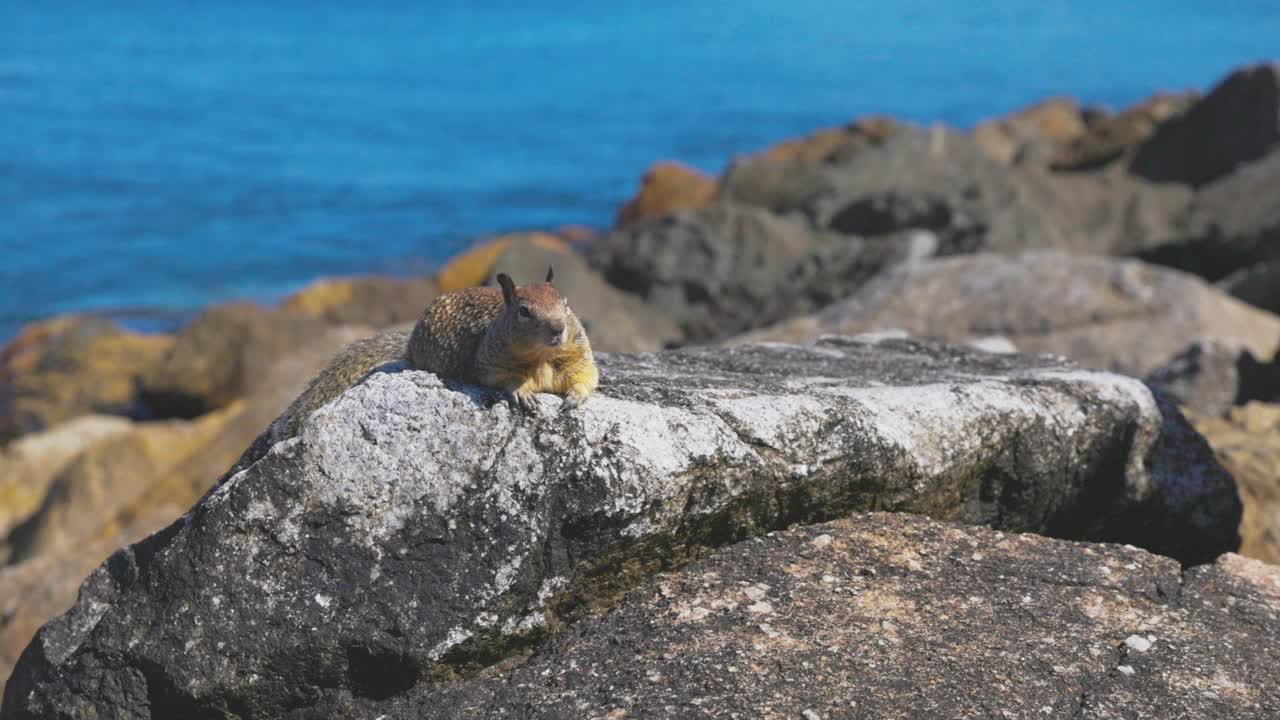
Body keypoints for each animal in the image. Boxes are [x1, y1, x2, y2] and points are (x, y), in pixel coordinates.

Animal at [271, 266, 599, 440]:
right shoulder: (488, 361)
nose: (558, 328)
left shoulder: (578, 353)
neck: (542, 357)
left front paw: (576, 396)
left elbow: (587, 375)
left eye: (565, 303)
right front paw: (522, 392)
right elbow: (501, 378)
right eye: (524, 311)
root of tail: (410, 343)